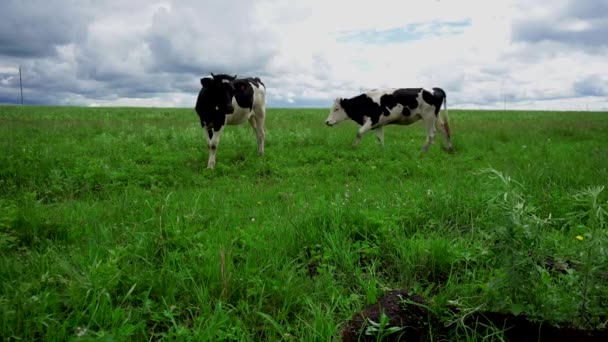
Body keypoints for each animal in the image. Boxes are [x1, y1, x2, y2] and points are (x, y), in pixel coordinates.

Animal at [326, 87, 454, 153]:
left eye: (336, 109)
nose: (327, 122)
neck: (366, 102)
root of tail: (434, 89)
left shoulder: (373, 120)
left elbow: (359, 132)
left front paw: (353, 147)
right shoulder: (379, 124)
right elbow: (379, 138)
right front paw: (382, 151)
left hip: (428, 117)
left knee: (431, 134)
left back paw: (422, 151)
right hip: (435, 117)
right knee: (445, 130)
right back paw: (449, 148)